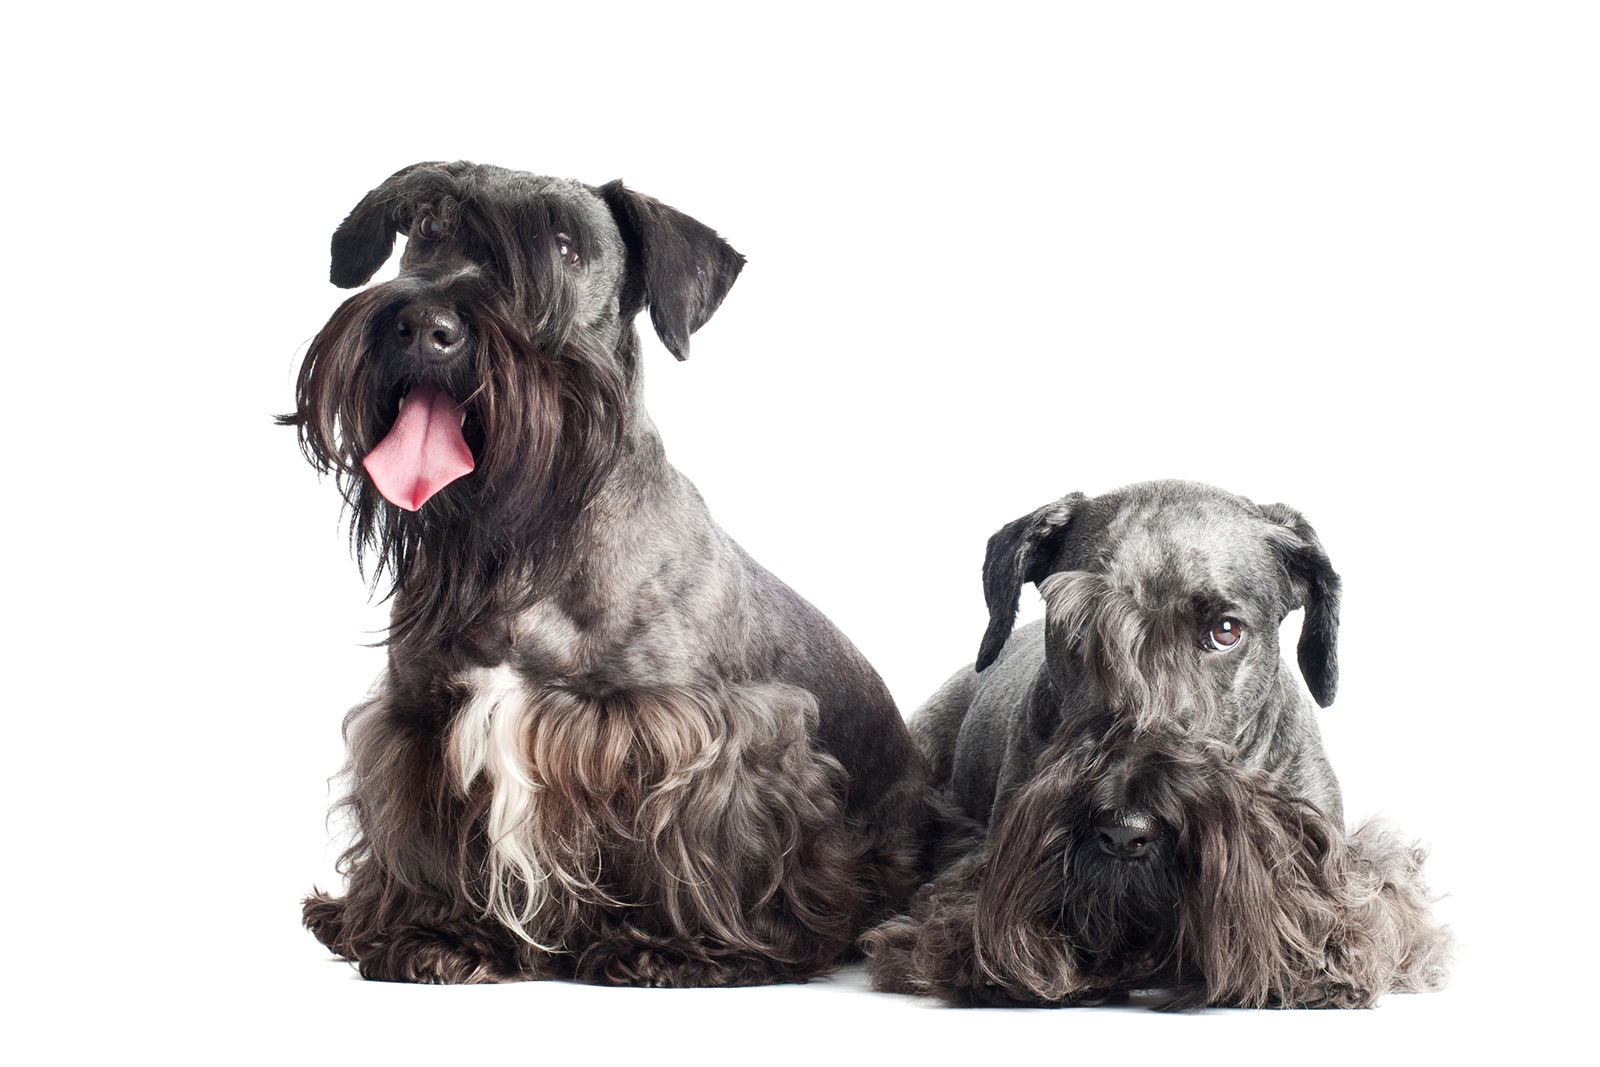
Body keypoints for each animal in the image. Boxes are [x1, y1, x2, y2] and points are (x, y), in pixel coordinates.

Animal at [288, 163, 928, 991]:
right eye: (428, 227)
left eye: (566, 246)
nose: (427, 326)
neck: (524, 552)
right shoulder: (418, 721)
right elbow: (419, 832)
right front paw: (438, 932)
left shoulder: (699, 737)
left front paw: (672, 948)